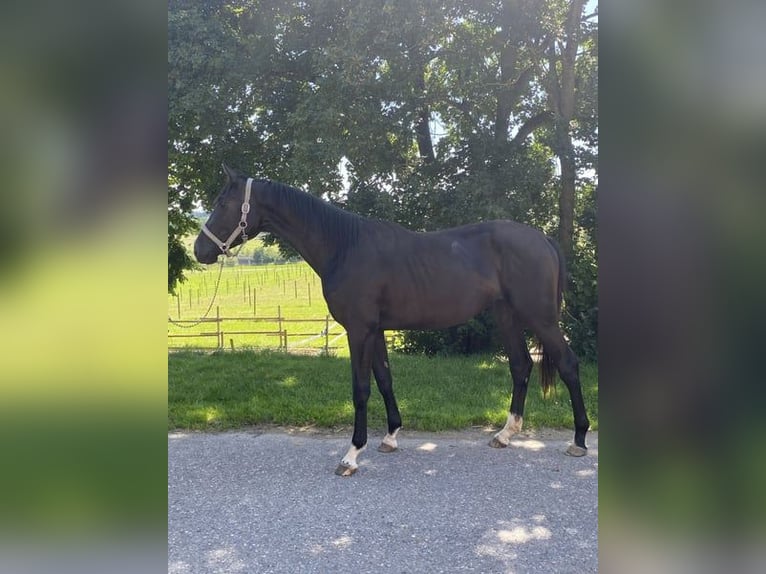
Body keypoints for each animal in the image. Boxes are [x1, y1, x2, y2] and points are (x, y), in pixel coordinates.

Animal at [194, 164, 590, 476]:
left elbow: (360, 389)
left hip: (540, 317)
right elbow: (384, 380)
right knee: (521, 366)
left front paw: (352, 455)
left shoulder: (358, 331)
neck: (344, 246)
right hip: (507, 315)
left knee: (568, 364)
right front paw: (390, 437)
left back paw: (579, 439)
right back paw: (505, 434)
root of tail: (542, 238)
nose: (200, 250)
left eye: (223, 203)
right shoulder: (377, 330)